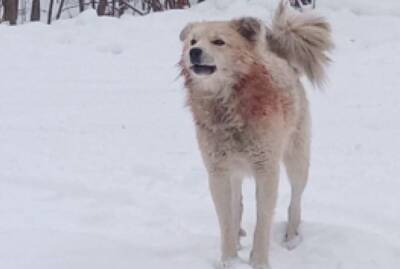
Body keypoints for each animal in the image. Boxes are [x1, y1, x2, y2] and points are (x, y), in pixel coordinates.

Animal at [180, 2, 332, 268]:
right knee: (237, 206)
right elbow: (226, 220)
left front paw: (258, 261)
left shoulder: (266, 170)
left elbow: (263, 221)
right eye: (192, 41)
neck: (228, 105)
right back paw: (239, 235)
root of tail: (282, 58)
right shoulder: (218, 172)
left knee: (295, 201)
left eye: (218, 42)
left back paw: (291, 237)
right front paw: (228, 259)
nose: (194, 52)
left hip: (297, 160)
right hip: (235, 172)